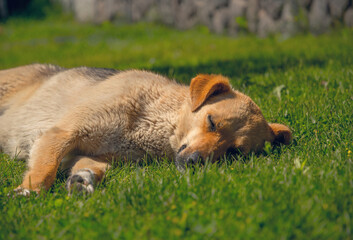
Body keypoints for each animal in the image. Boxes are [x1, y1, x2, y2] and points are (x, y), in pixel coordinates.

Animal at [0, 63, 292, 195]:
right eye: (211, 122)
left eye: (234, 152)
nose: (195, 163)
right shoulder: (61, 134)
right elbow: (45, 170)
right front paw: (29, 191)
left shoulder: (88, 155)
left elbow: (94, 170)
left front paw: (83, 180)